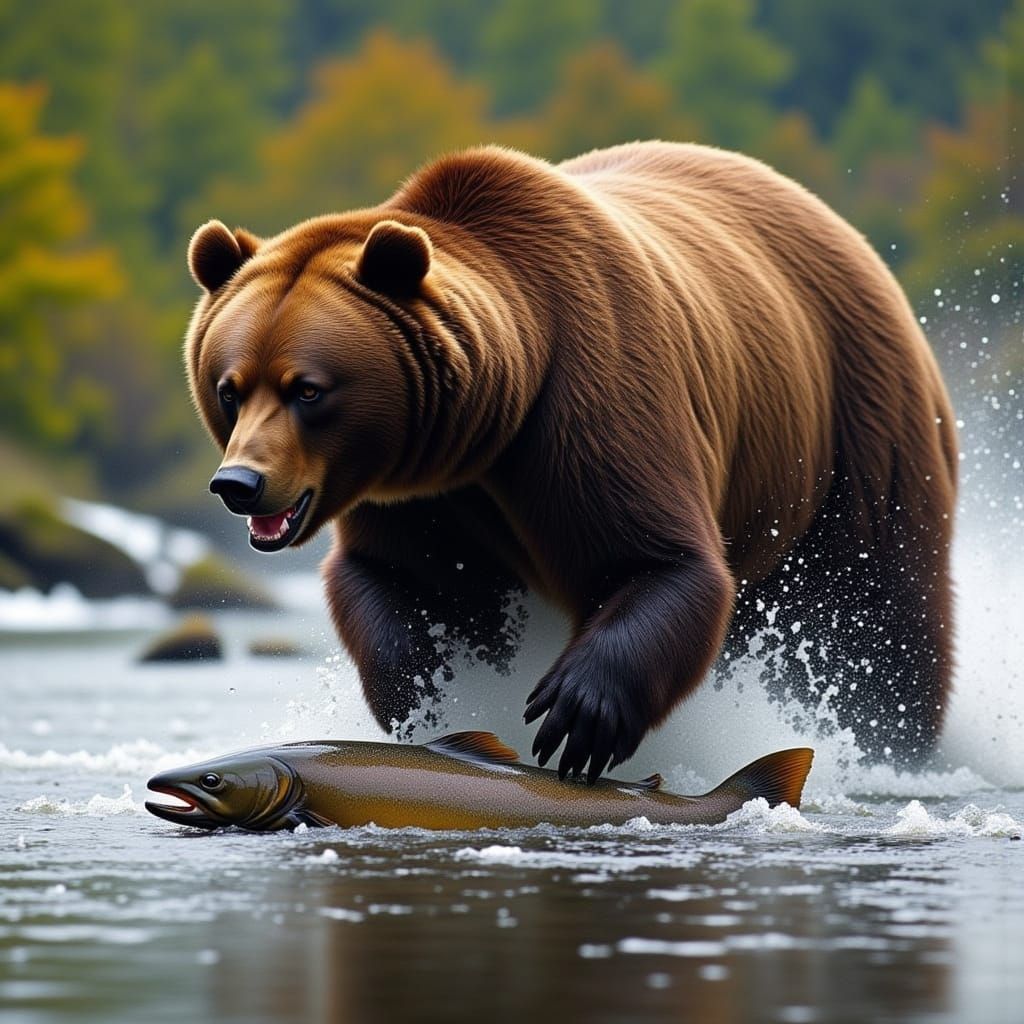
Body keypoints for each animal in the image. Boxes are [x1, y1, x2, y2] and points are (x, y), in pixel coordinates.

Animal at [185, 141, 957, 781]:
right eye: (229, 387)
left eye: (308, 389)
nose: (239, 482)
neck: (488, 429)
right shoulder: (425, 499)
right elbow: (396, 580)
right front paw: (431, 685)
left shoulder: (591, 401)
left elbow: (661, 560)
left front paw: (577, 716)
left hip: (855, 432)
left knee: (878, 615)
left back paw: (893, 743)